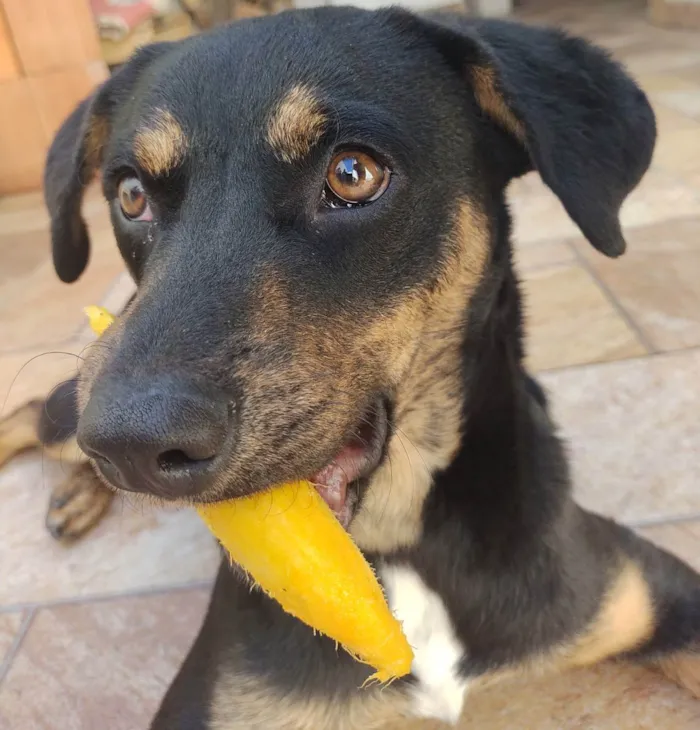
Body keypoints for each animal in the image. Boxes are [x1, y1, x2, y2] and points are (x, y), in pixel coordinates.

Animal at [1, 7, 700, 728]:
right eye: (132, 195)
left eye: (353, 174)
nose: (130, 448)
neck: (396, 545)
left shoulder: (655, 593)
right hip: (77, 402)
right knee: (30, 411)